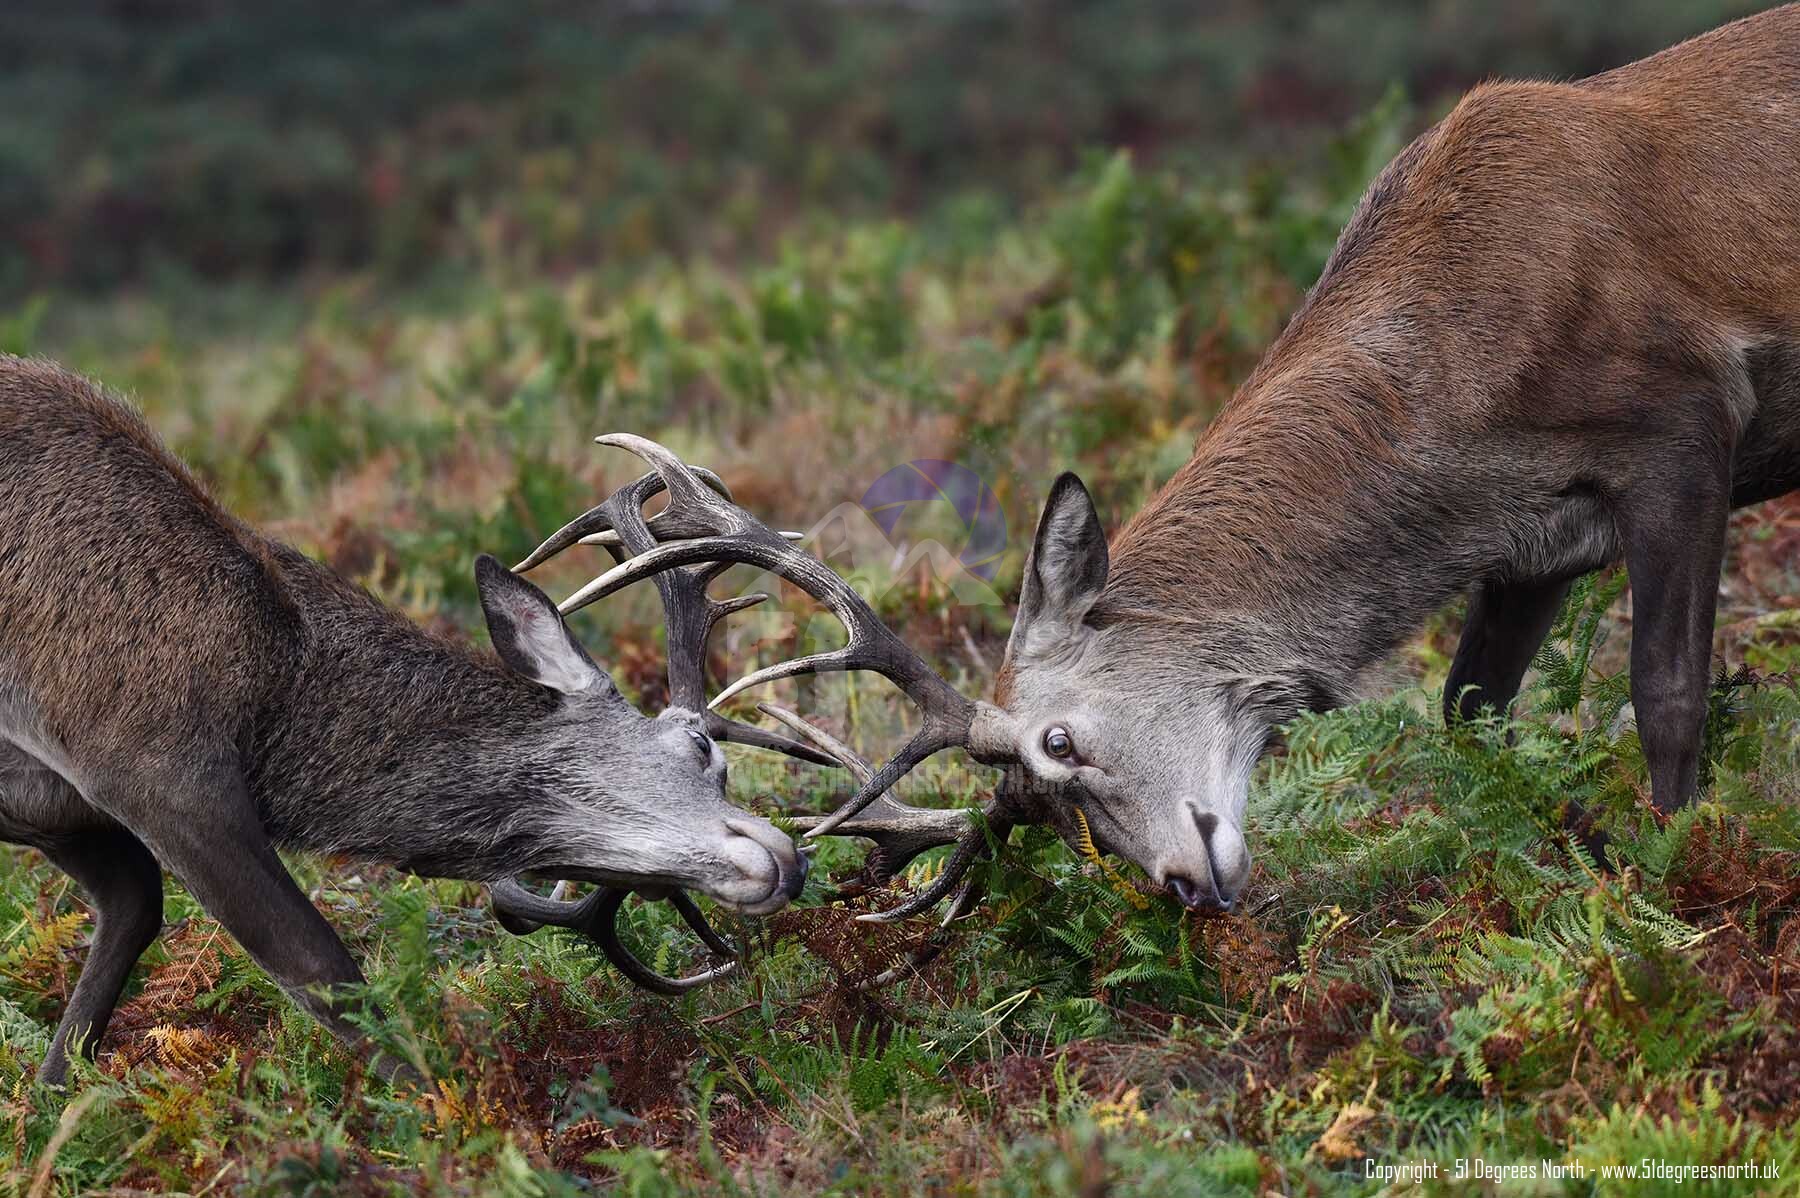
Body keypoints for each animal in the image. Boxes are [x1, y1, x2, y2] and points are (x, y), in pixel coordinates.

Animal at [0, 356, 832, 1086]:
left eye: (650, 892)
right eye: (699, 748)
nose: (790, 862)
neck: (274, 691)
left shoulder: (47, 804)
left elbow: (129, 915)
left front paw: (51, 1109)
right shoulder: (146, 758)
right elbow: (320, 969)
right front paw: (442, 1111)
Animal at [538, 5, 1800, 947]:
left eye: (1058, 744)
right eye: (1054, 806)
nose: (1184, 886)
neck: (1464, 415)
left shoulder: (1687, 418)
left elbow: (1667, 695)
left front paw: (1675, 878)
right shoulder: (1533, 546)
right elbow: (1470, 711)